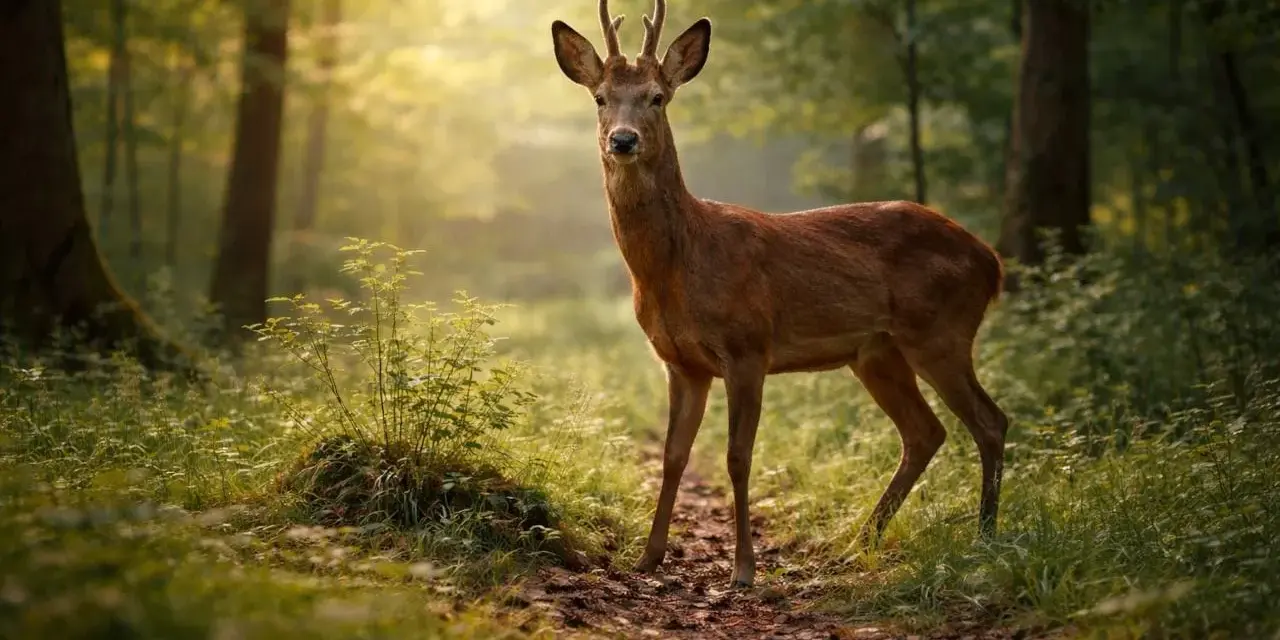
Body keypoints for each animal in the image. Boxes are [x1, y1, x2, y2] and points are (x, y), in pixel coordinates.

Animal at [550, 0, 1010, 588]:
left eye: (657, 96)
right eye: (601, 98)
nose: (623, 140)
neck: (678, 265)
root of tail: (991, 261)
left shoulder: (748, 347)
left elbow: (737, 456)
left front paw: (743, 569)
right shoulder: (681, 362)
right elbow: (673, 456)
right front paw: (648, 557)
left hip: (940, 331)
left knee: (989, 421)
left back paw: (984, 540)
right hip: (876, 352)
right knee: (925, 432)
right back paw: (855, 547)